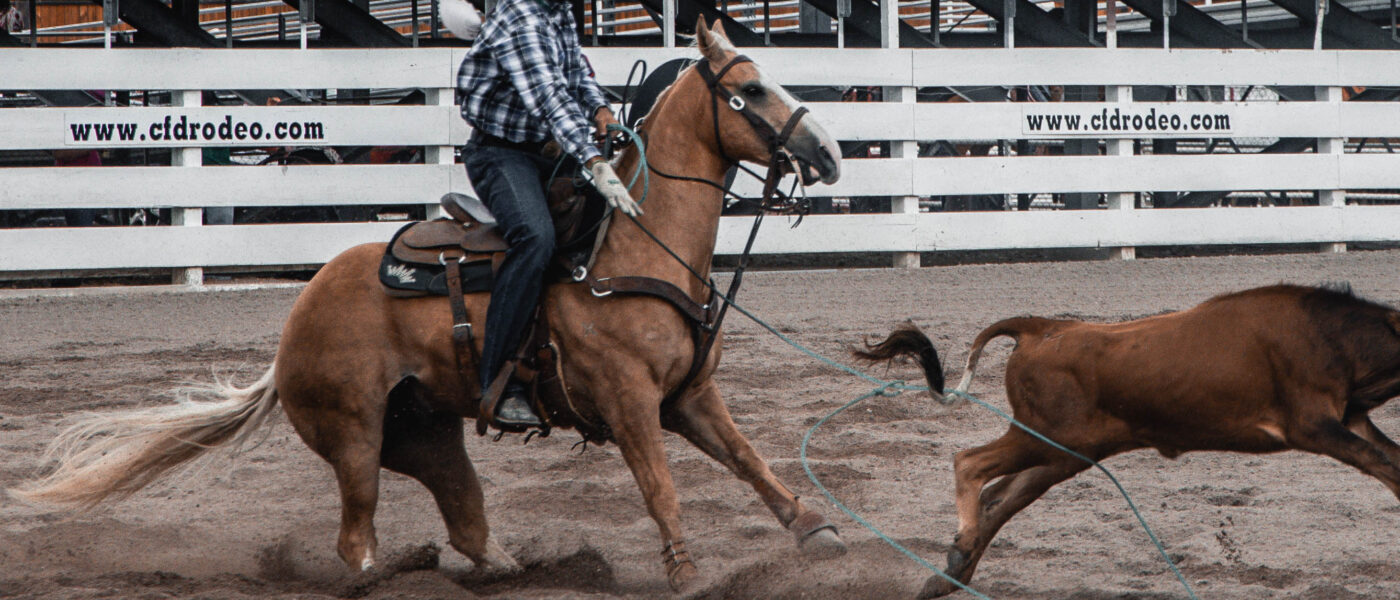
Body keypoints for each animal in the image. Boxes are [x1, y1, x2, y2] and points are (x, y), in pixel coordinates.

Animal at [13, 19, 845, 593]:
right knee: (357, 537)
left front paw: (817, 530)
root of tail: (294, 325)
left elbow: (751, 459)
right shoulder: (631, 400)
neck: (632, 248)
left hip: (427, 433)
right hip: (354, 436)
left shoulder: (689, 395)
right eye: (752, 89)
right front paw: (686, 573)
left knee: (467, 514)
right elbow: (661, 487)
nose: (831, 154)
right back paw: (384, 576)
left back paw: (505, 569)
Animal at [857, 284, 1400, 598]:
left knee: (1001, 496)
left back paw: (951, 571)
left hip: (1066, 451)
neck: (1329, 333)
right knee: (970, 463)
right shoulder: (1313, 426)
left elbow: (1389, 461)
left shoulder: (1351, 421)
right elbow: (1384, 464)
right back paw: (960, 551)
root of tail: (1042, 328)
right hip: (1046, 438)